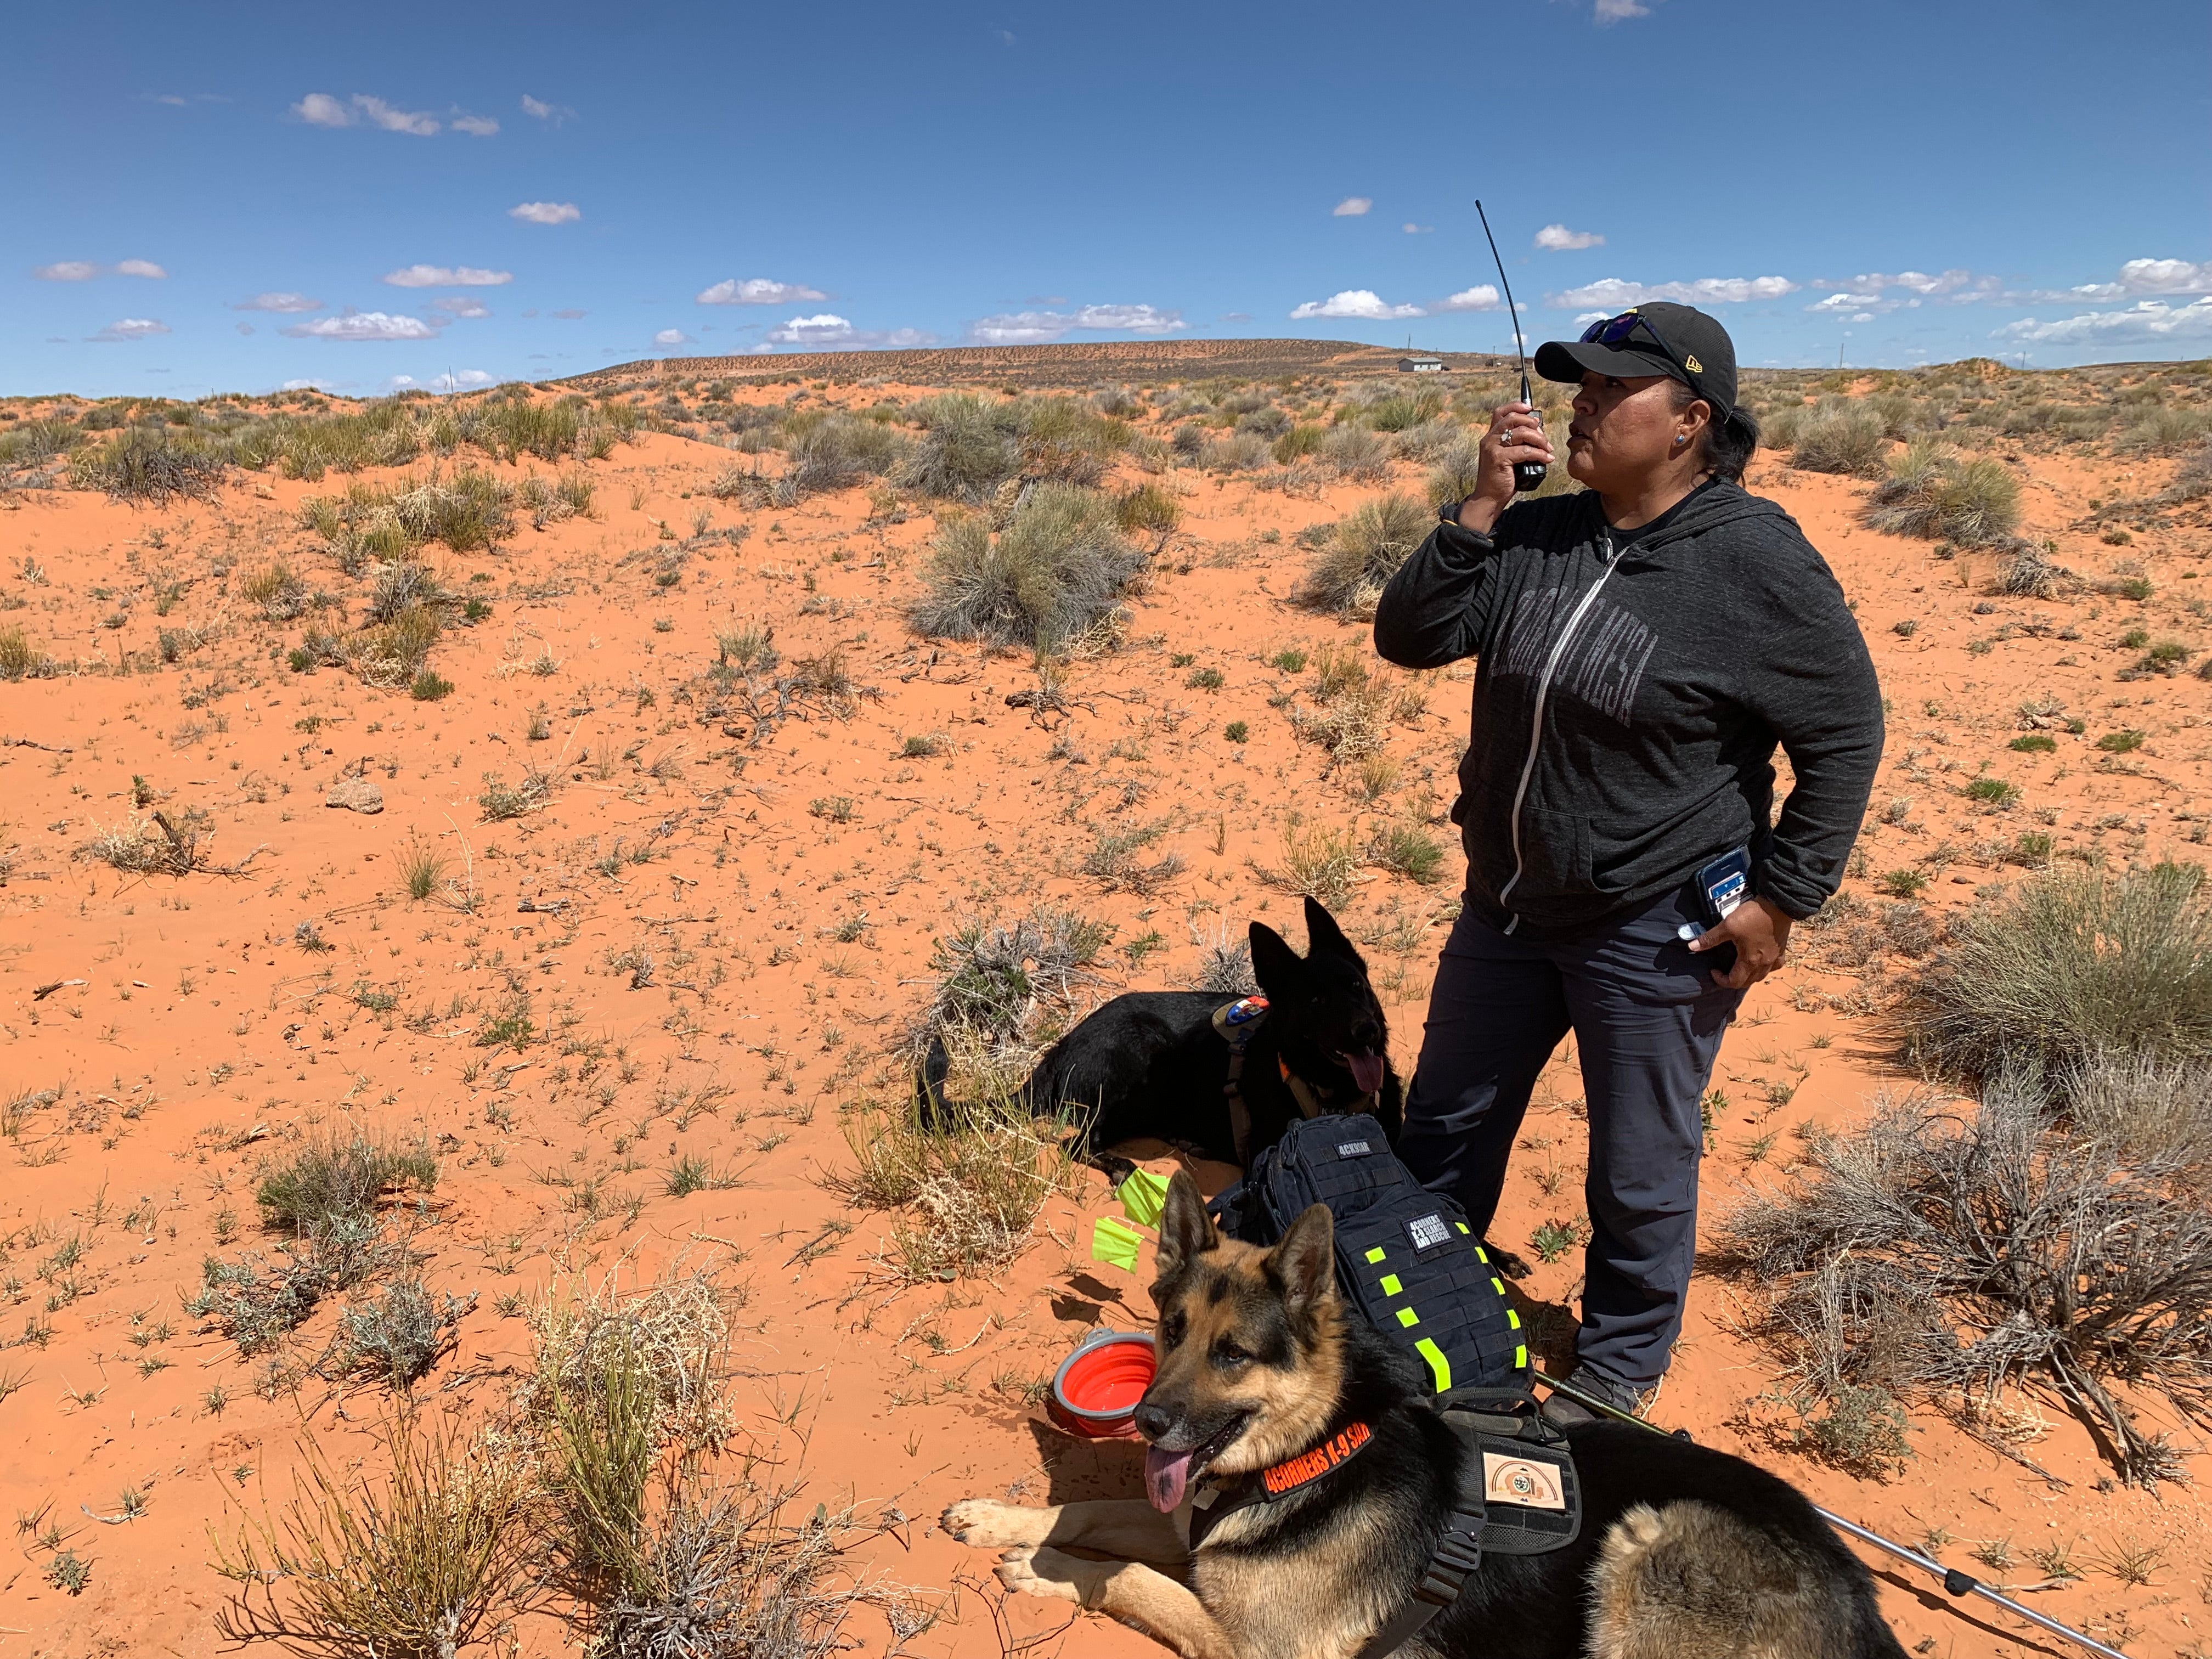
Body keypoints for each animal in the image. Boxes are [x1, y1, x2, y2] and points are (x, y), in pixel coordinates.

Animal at [1004, 898, 1398, 1167]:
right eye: (1316, 1001)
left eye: (1357, 985)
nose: (1367, 1032)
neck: (1333, 1092)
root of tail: (1059, 1051)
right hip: (1150, 1055)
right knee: (1080, 1144)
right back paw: (1125, 1168)